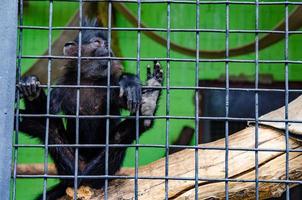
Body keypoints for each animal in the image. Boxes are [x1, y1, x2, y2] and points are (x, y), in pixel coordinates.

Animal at [16, 18, 163, 199]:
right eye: (97, 42)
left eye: (107, 43)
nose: (107, 47)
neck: (89, 79)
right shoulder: (62, 88)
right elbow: (45, 113)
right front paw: (30, 86)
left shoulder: (110, 86)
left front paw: (129, 82)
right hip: (69, 166)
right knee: (48, 129)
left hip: (102, 168)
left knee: (120, 138)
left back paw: (149, 104)